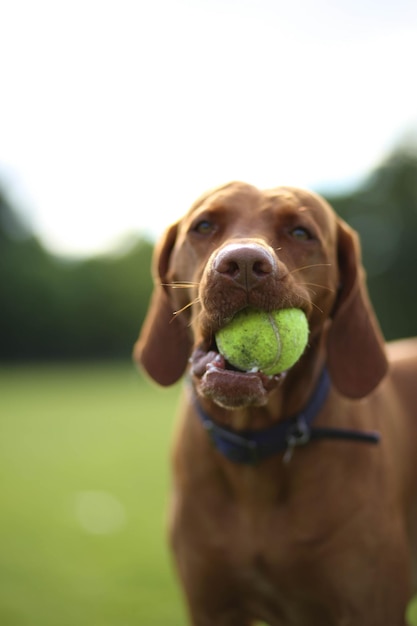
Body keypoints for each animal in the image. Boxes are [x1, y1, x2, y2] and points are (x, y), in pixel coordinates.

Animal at [134, 182, 416, 624]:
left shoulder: (369, 604)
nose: (244, 263)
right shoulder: (211, 606)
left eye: (301, 232)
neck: (256, 449)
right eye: (204, 225)